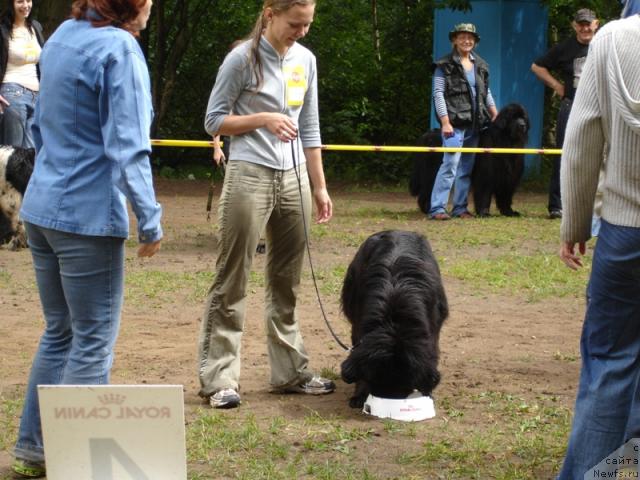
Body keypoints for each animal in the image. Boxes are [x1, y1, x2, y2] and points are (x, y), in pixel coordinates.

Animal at [340, 230, 450, 408]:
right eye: (376, 382)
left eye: (405, 385)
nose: (390, 399)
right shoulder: (358, 326)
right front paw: (360, 394)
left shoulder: (433, 326)